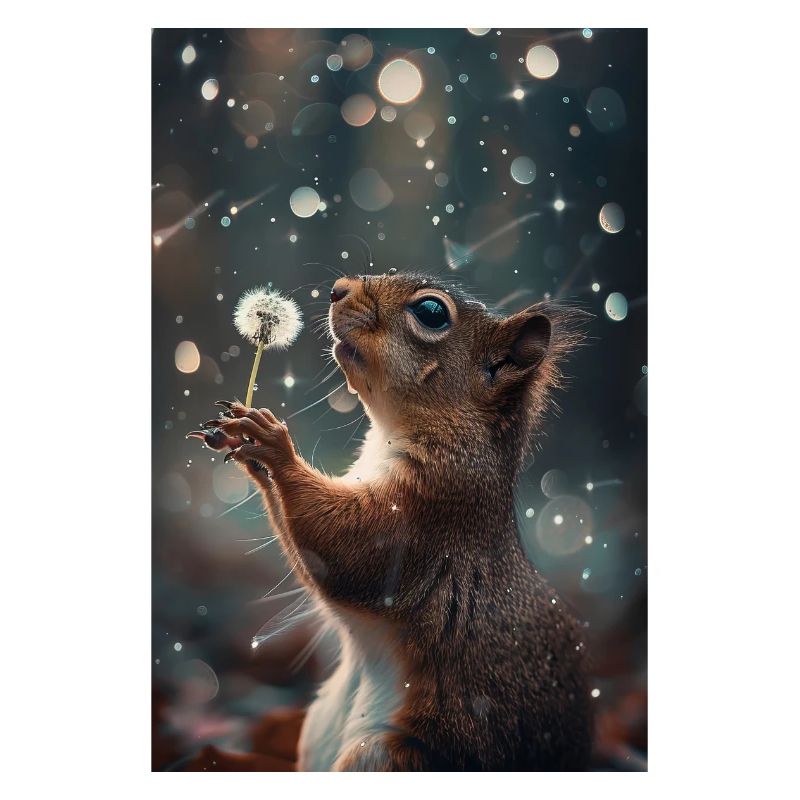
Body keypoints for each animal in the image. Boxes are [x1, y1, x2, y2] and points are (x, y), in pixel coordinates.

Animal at [190, 270, 592, 771]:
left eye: (431, 312)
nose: (337, 289)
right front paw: (237, 436)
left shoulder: (432, 506)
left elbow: (346, 548)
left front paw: (272, 442)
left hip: (388, 757)